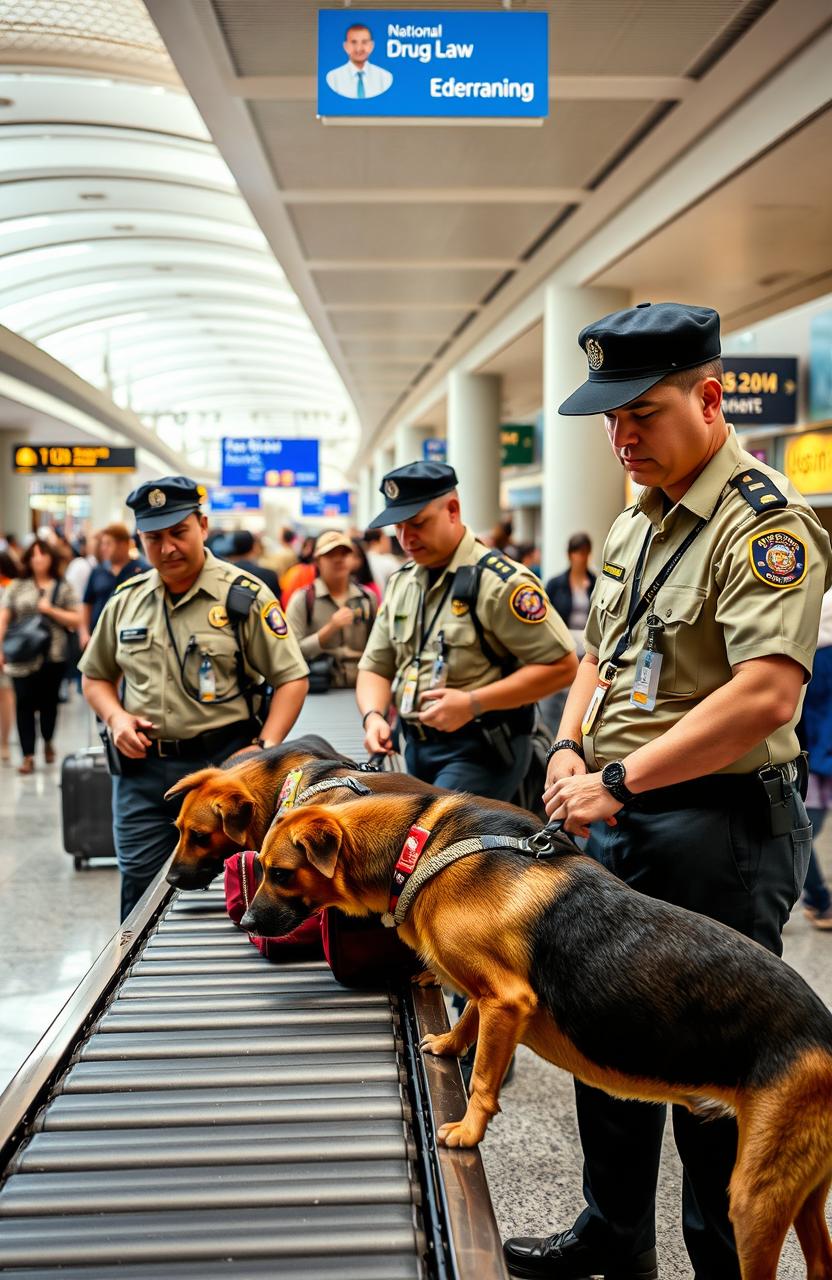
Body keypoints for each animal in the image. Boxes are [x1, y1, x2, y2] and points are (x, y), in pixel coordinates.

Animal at [241, 788, 832, 1280]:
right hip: (802, 1193)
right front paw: (448, 1045)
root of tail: (823, 1033)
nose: (245, 924)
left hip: (754, 1196)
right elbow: (468, 1018)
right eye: (264, 869)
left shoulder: (508, 998)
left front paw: (467, 1132)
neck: (417, 845)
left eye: (281, 873)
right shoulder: (490, 997)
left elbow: (482, 1078)